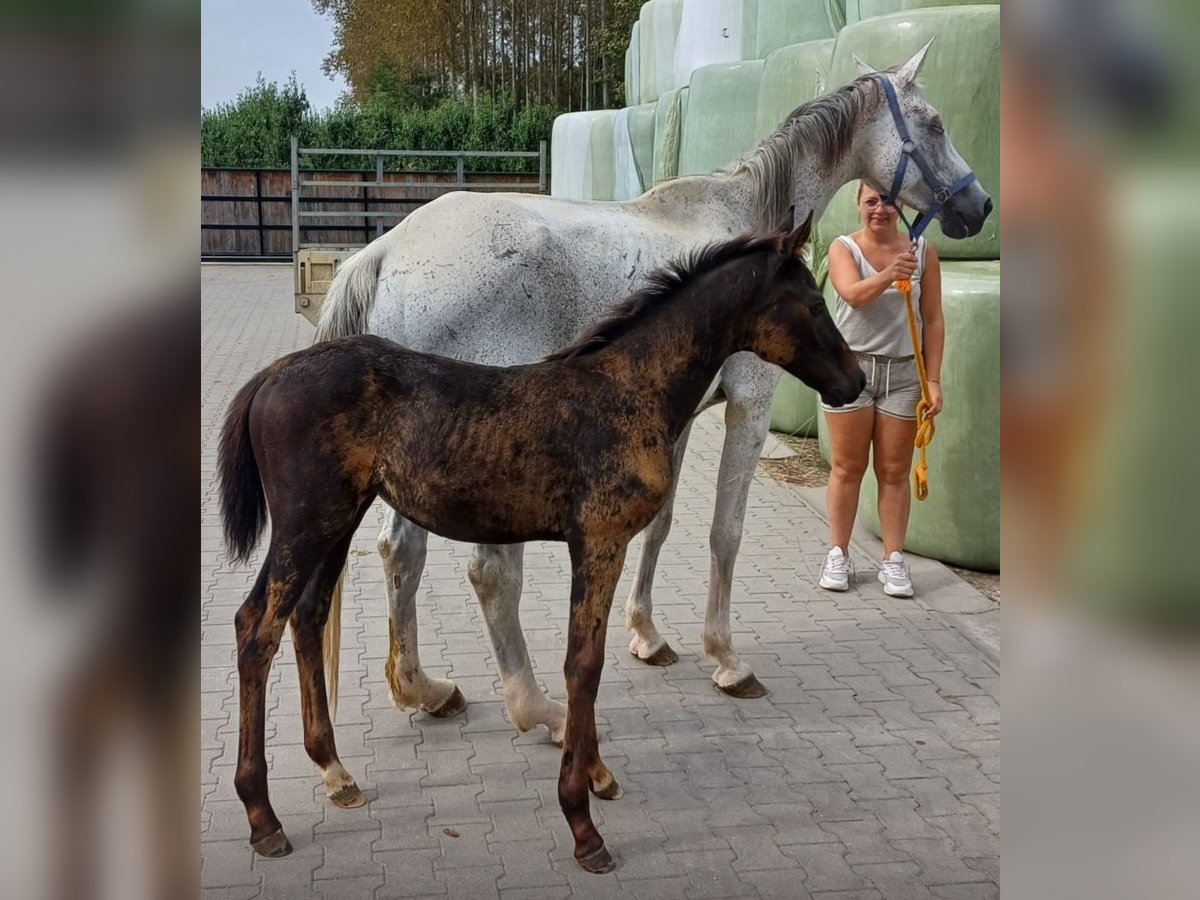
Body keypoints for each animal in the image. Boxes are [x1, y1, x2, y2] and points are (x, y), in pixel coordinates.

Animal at [220, 213, 868, 873]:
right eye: (814, 302)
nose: (857, 380)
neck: (630, 388)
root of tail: (274, 373)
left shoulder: (601, 543)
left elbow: (587, 660)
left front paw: (598, 775)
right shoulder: (600, 541)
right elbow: (583, 665)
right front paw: (583, 823)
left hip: (337, 519)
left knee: (306, 614)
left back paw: (334, 769)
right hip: (305, 524)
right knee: (256, 626)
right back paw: (262, 816)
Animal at [312, 40, 993, 734]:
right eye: (935, 124)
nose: (978, 206)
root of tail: (385, 252)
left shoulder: (683, 417)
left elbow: (661, 526)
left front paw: (646, 635)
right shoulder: (748, 407)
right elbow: (725, 533)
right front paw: (726, 658)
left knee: (400, 553)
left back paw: (423, 689)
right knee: (486, 570)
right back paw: (533, 706)